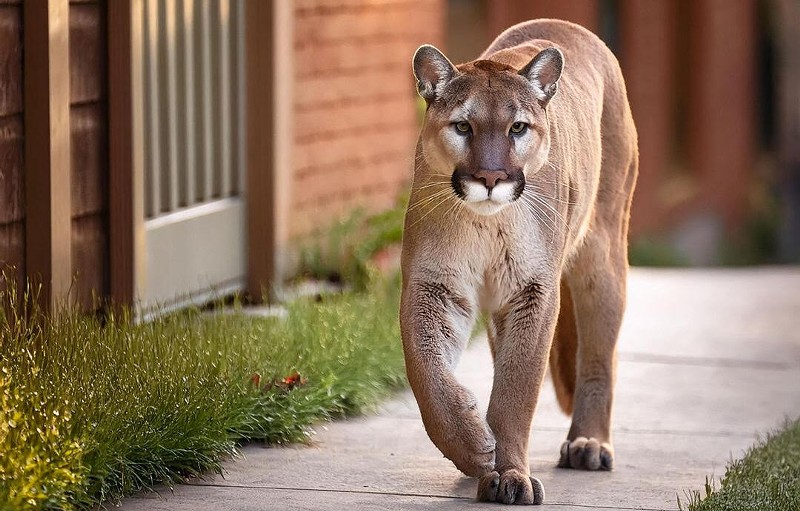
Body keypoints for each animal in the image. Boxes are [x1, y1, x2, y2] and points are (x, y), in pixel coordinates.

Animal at [404, 19, 640, 504]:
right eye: (462, 126)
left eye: (517, 128)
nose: (491, 177)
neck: (486, 222)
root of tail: (567, 25)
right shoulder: (432, 284)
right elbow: (426, 371)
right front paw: (473, 448)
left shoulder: (533, 290)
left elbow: (518, 388)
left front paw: (510, 473)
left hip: (603, 253)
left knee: (598, 355)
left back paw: (589, 444)